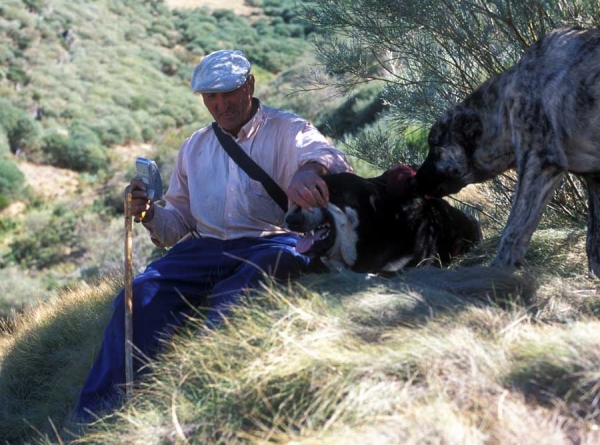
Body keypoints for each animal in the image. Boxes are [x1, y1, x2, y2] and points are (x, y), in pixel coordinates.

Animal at [418, 26, 600, 276]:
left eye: (434, 146)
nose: (414, 180)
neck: (505, 101)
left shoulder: (538, 163)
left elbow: (514, 230)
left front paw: (498, 271)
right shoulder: (595, 179)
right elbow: (594, 240)